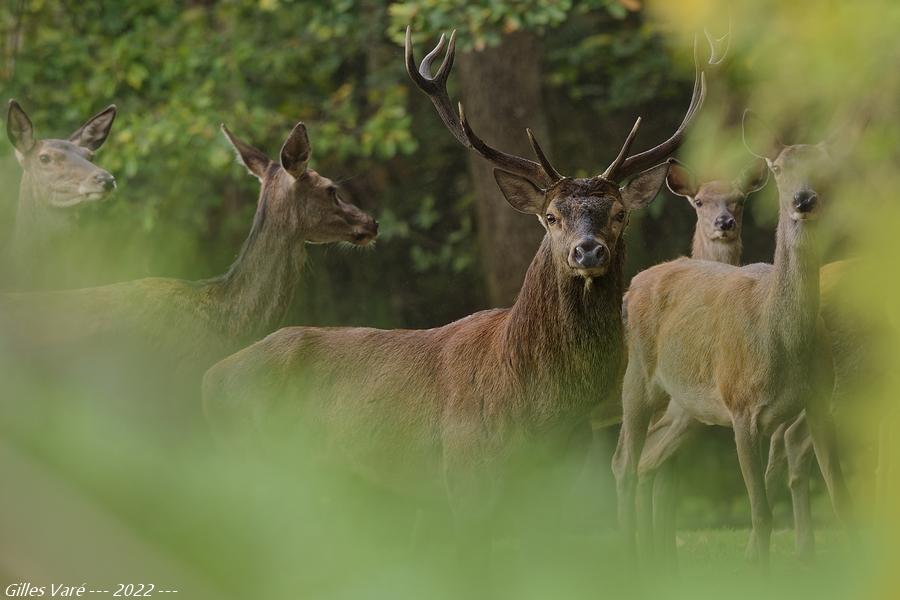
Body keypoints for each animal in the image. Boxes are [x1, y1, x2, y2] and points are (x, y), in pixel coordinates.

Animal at [202, 25, 712, 564]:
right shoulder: (466, 477)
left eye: (618, 213)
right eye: (551, 217)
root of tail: (211, 379)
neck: (538, 405)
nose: (587, 250)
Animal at [616, 111, 856, 568]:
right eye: (778, 168)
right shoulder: (741, 407)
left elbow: (839, 499)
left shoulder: (822, 400)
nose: (803, 200)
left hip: (687, 408)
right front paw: (756, 568)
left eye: (822, 167)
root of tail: (636, 280)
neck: (781, 341)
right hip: (638, 376)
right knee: (624, 461)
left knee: (647, 462)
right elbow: (760, 515)